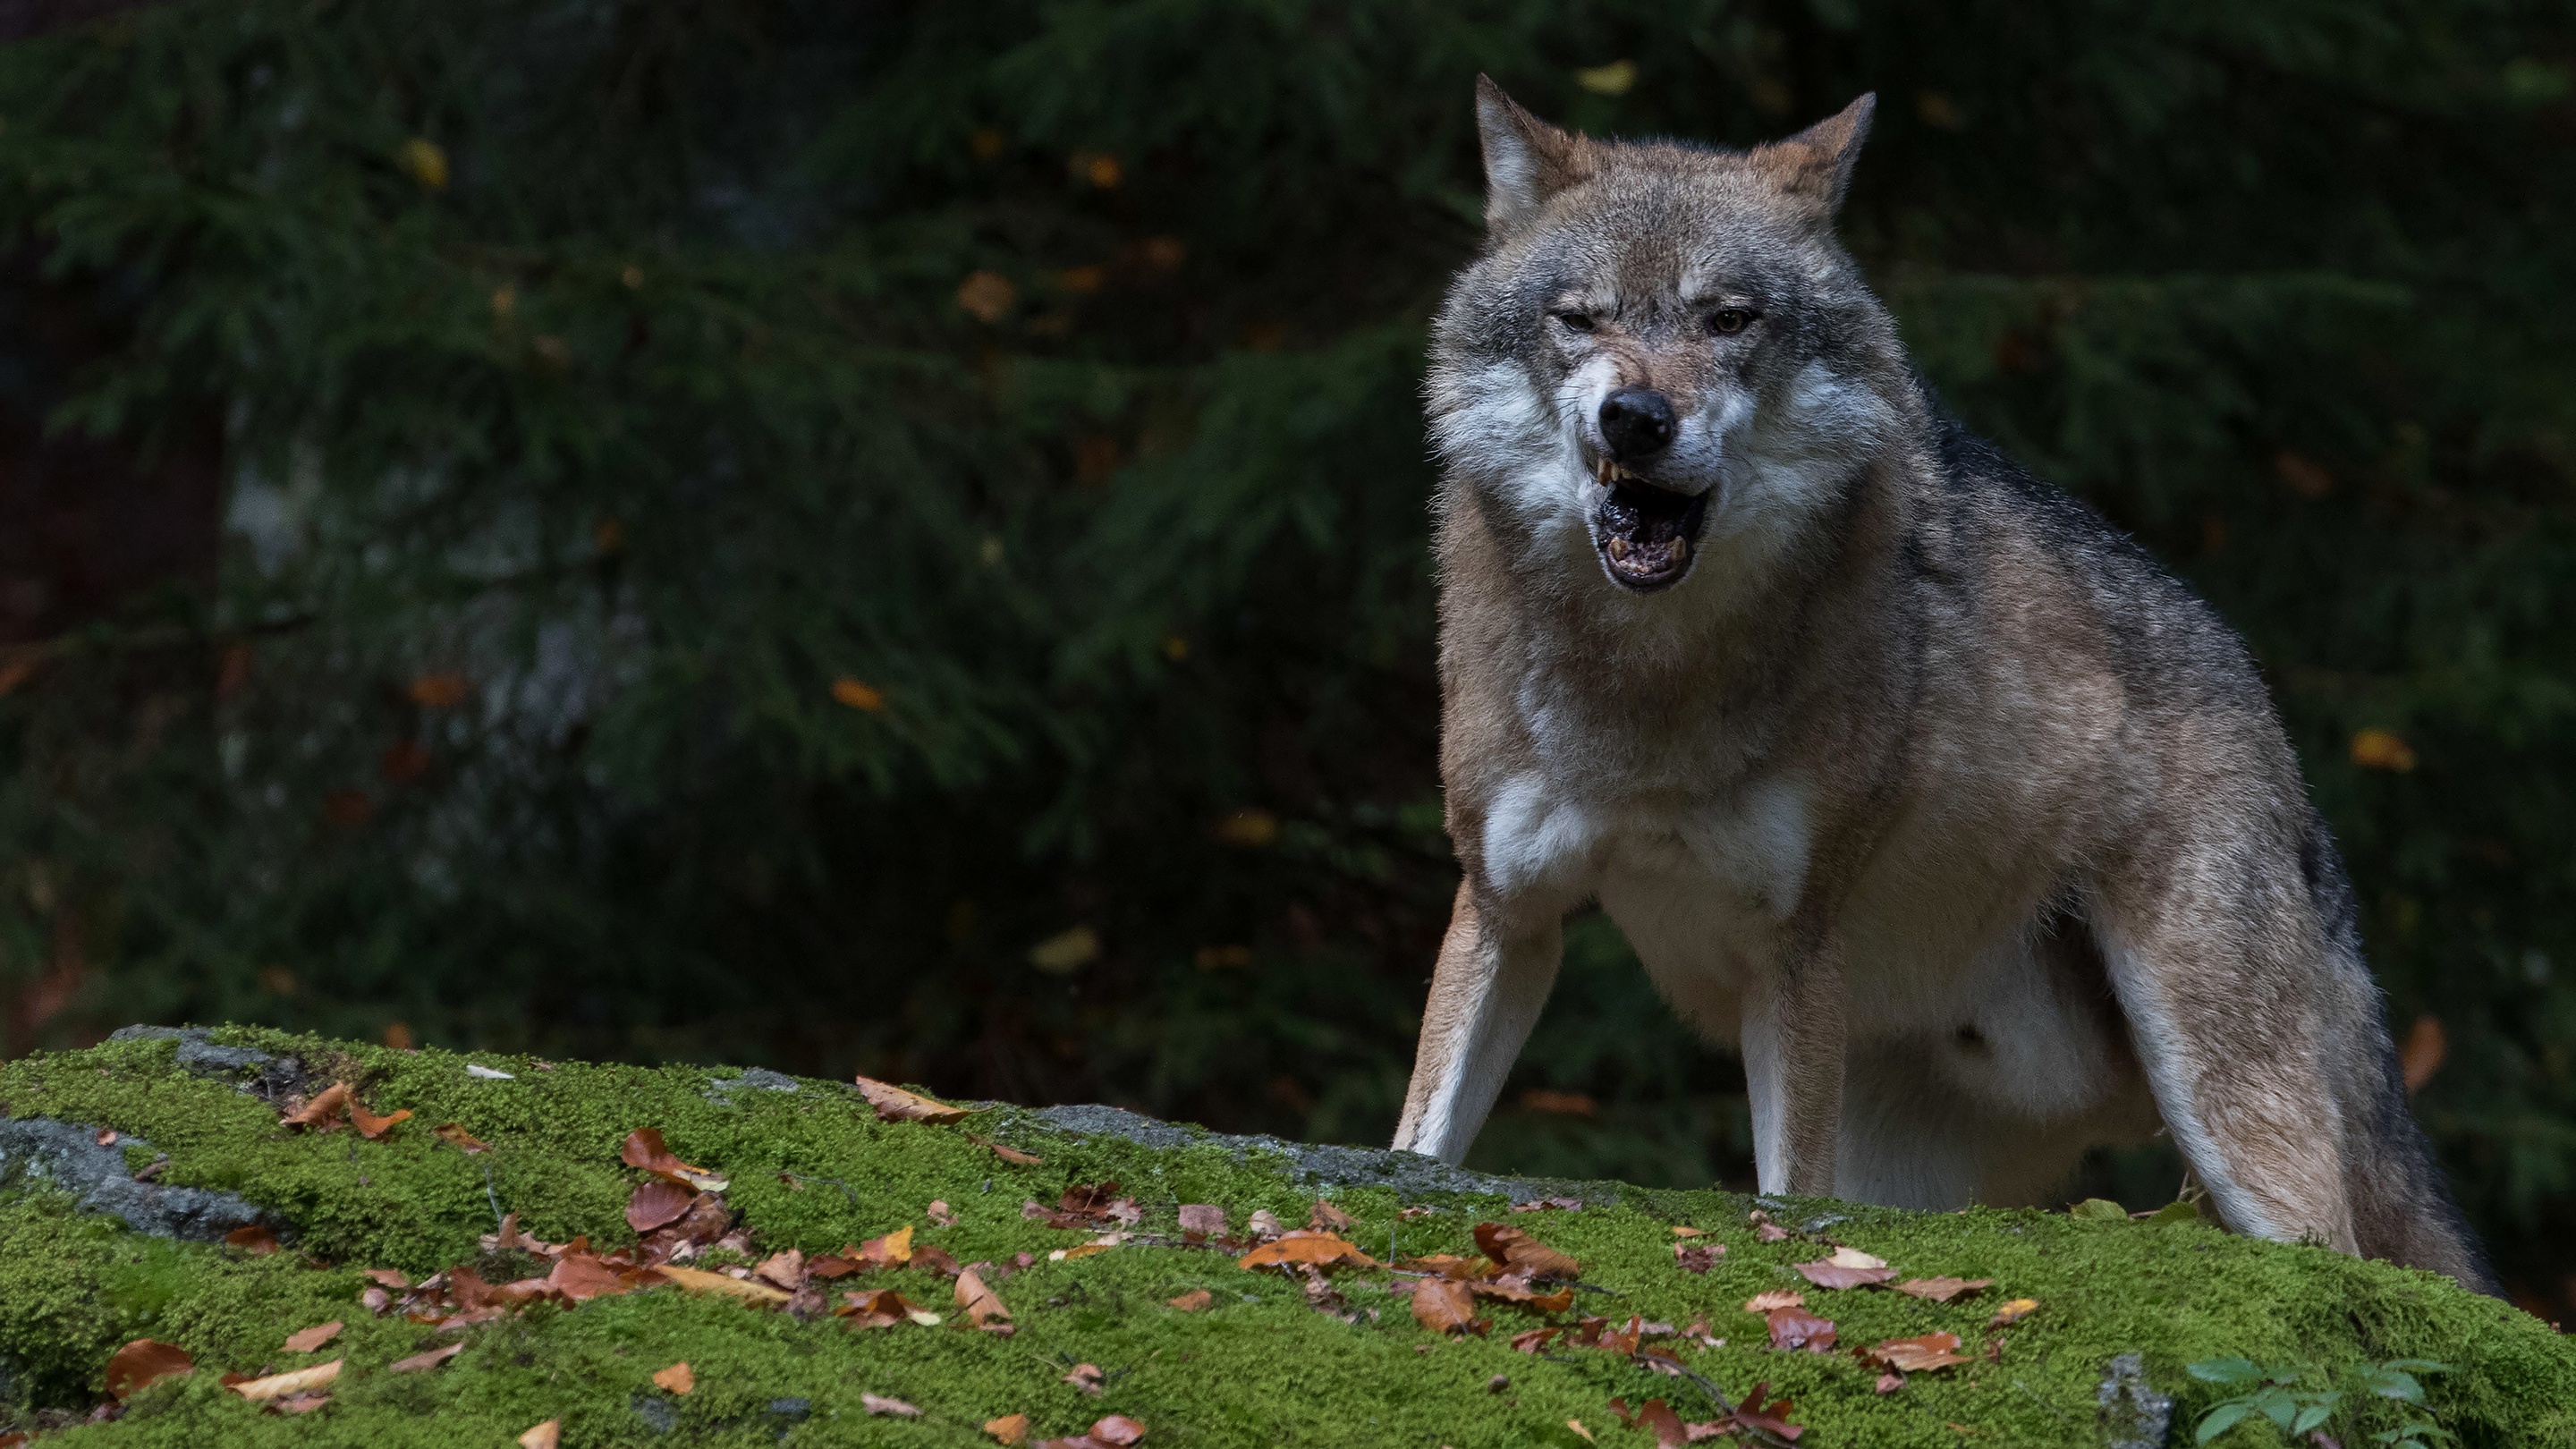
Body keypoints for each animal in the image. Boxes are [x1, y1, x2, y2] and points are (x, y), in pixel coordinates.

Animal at [1401, 76, 2504, 1284]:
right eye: (1582, 318)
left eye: (1728, 319)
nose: (1637, 418)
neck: (1649, 686)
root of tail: (2262, 700)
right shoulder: (1506, 907)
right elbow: (1420, 1142)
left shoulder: (1795, 950)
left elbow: (1784, 1196)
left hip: (2230, 1114)